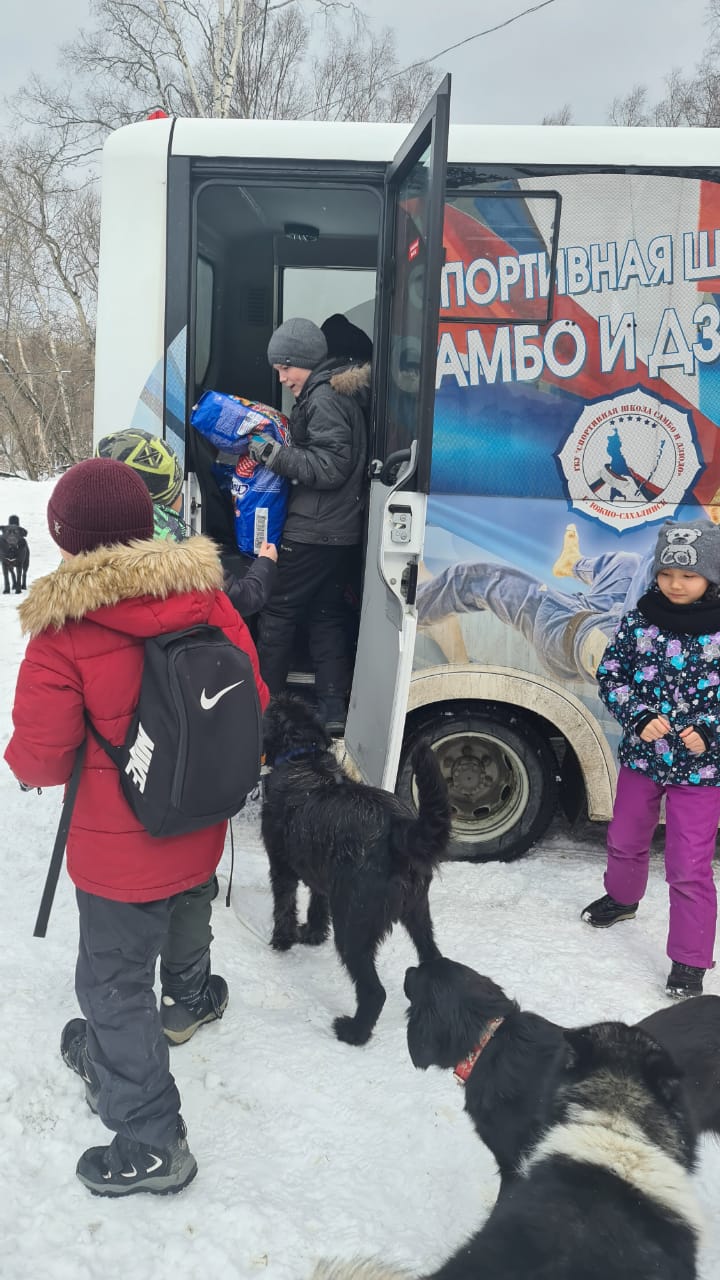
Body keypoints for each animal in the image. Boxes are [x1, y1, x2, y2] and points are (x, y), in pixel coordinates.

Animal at [257, 696, 448, 1044]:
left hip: (354, 927)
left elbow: (284, 905)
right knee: (432, 957)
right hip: (418, 914)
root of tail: (400, 830)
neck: (302, 756)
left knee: (374, 992)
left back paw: (354, 1031)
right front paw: (313, 934)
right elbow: (317, 906)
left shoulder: (281, 867)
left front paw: (283, 940)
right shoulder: (321, 876)